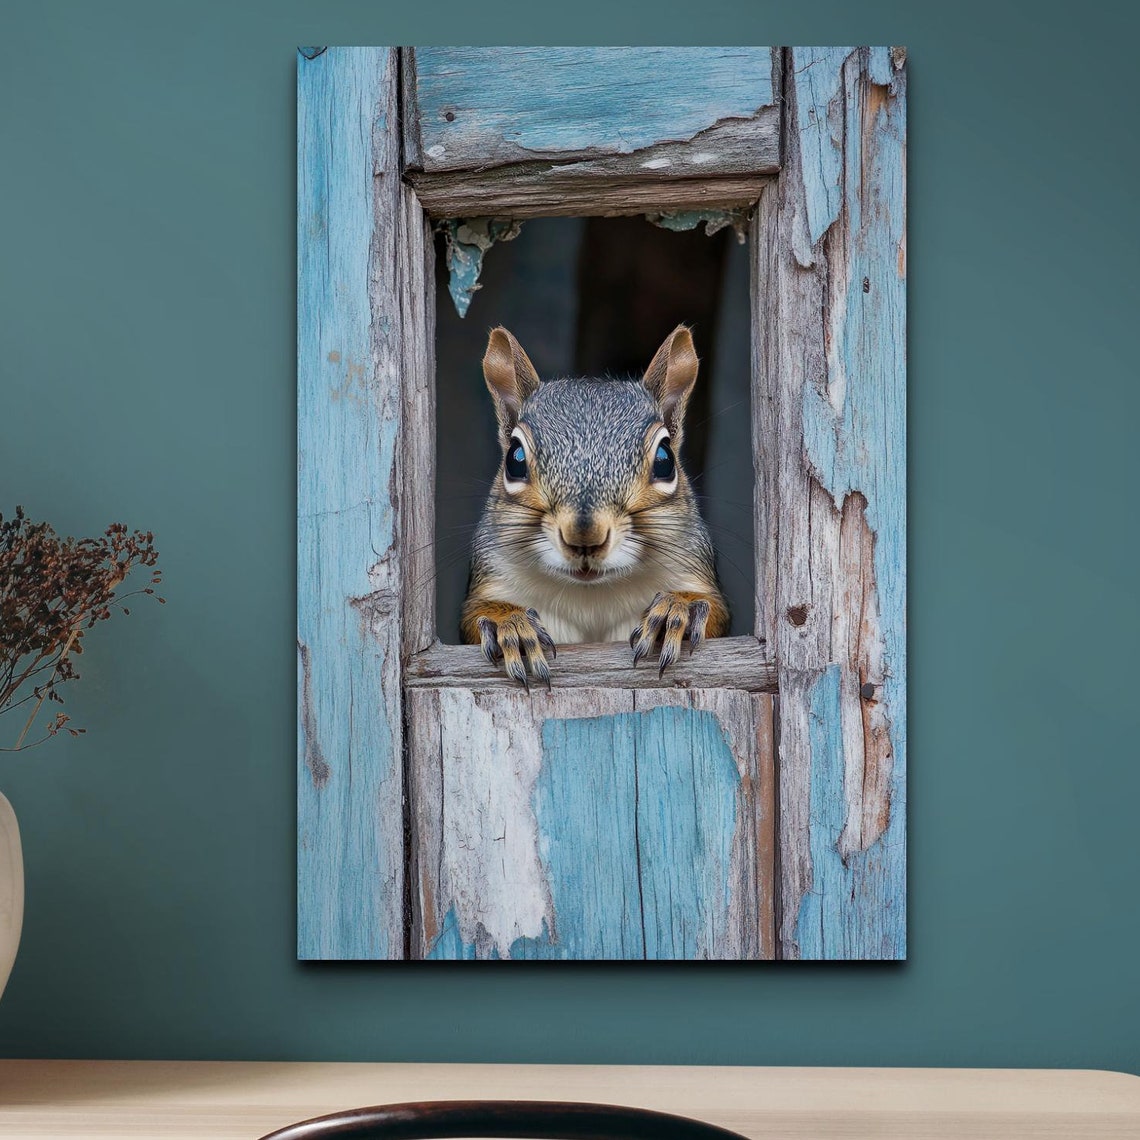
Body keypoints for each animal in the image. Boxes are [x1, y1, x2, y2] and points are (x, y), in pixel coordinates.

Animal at [460, 324, 729, 688]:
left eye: (665, 460)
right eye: (514, 459)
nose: (584, 537)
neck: (592, 596)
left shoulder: (694, 569)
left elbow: (713, 612)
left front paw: (680, 610)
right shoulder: (490, 574)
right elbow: (476, 615)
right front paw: (509, 624)